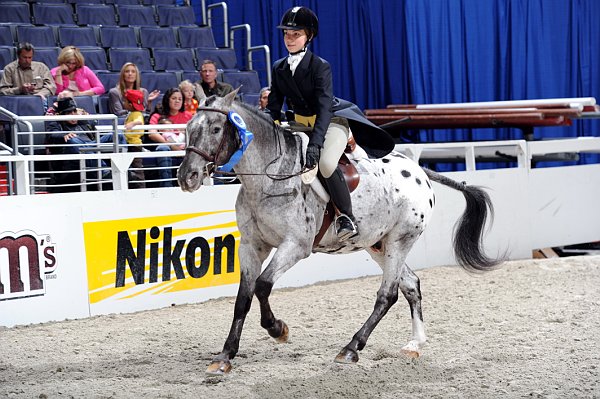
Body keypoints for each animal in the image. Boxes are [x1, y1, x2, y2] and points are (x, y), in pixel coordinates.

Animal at [177, 89, 502, 376]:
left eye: (216, 128)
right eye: (189, 129)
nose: (186, 177)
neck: (269, 177)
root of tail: (419, 170)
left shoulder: (295, 245)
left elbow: (263, 286)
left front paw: (278, 329)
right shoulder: (251, 246)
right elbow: (243, 298)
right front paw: (224, 356)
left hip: (401, 239)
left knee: (388, 294)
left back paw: (351, 348)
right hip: (378, 244)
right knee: (410, 284)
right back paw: (414, 344)